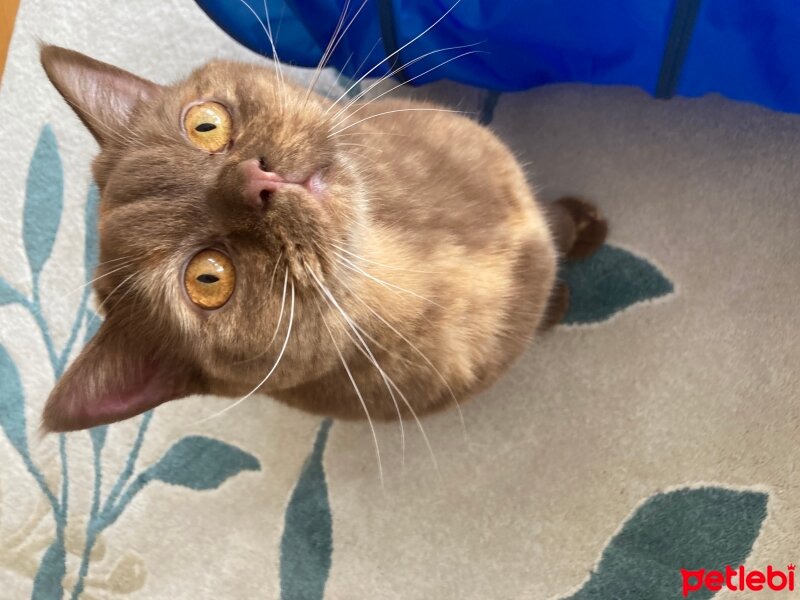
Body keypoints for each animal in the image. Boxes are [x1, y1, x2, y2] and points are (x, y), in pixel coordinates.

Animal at [34, 44, 604, 434]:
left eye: (205, 125)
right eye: (208, 278)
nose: (255, 181)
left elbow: (553, 222)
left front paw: (584, 224)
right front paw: (562, 298)